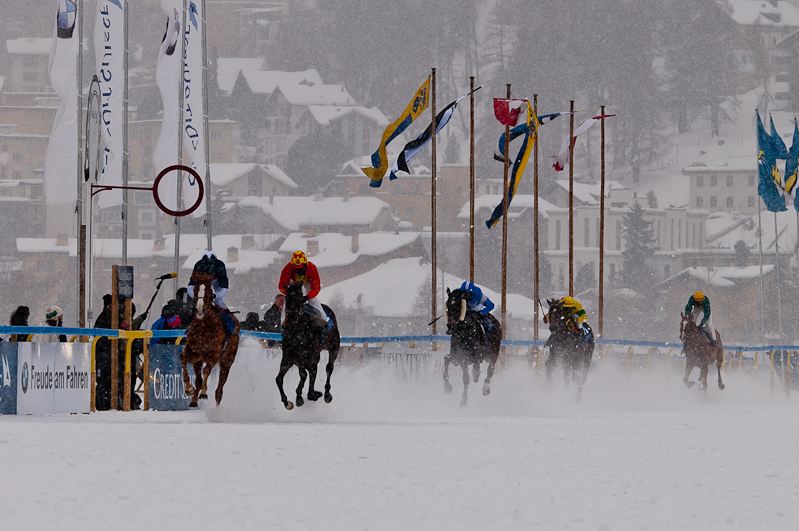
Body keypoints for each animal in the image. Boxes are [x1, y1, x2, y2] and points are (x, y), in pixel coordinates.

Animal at [182, 274, 241, 408]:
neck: (204, 327)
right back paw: (194, 400)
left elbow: (206, 370)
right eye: (195, 290)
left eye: (209, 291)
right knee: (199, 381)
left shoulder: (214, 354)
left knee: (219, 389)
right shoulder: (194, 353)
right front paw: (189, 389)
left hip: (227, 361)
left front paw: (204, 393)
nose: (199, 309)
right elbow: (183, 358)